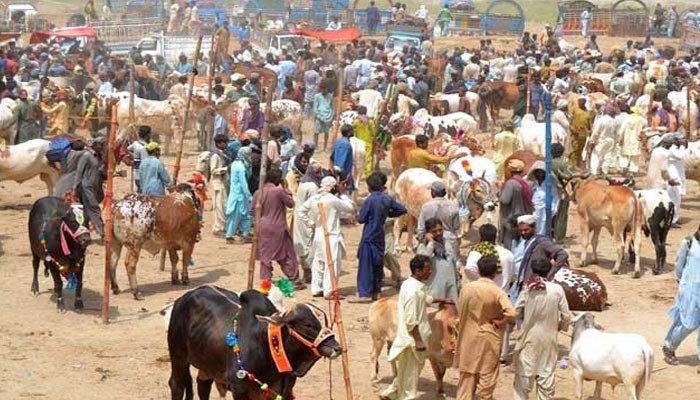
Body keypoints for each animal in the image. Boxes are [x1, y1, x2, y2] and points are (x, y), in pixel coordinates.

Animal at [167, 288, 342, 400]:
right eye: (308, 325)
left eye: (326, 321)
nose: (337, 348)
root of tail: (183, 299)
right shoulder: (239, 390)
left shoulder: (283, 392)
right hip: (178, 357)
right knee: (176, 386)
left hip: (207, 364)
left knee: (203, 384)